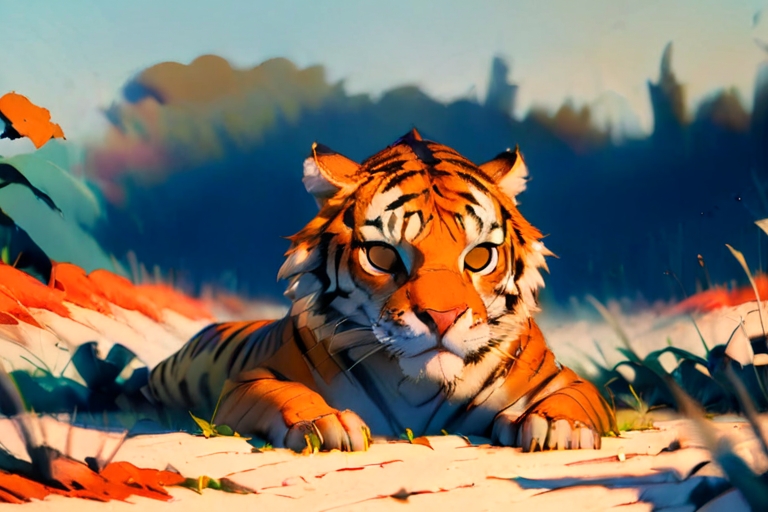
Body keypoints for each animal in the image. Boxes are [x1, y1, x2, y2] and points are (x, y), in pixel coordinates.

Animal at [148, 129, 617, 452]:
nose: (443, 318)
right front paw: (325, 424)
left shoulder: (567, 380)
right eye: (382, 256)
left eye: (480, 257)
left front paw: (560, 428)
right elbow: (285, 393)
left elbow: (572, 398)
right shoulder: (248, 381)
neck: (418, 387)